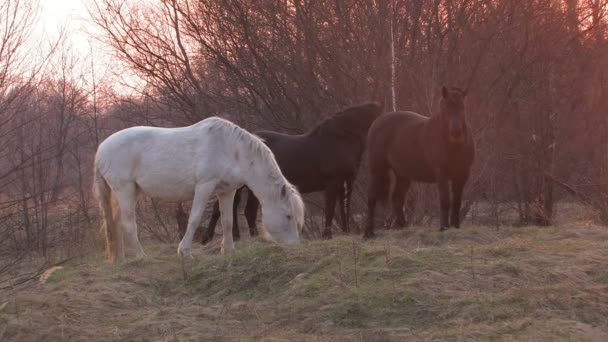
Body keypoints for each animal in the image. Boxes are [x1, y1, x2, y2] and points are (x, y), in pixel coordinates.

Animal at [92, 116, 304, 264]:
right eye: (288, 216)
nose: (295, 246)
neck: (231, 150)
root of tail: (101, 149)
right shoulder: (204, 186)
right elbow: (194, 219)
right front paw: (185, 253)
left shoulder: (226, 191)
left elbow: (227, 220)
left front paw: (228, 250)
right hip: (125, 190)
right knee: (128, 224)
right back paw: (141, 257)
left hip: (130, 192)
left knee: (116, 222)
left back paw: (120, 259)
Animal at [364, 86, 472, 238]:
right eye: (445, 108)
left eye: (462, 107)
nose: (456, 132)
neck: (454, 147)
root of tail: (377, 122)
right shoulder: (442, 174)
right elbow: (445, 200)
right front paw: (443, 228)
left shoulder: (462, 175)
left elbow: (456, 202)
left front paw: (455, 227)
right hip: (377, 169)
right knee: (372, 197)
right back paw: (369, 232)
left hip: (403, 174)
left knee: (397, 198)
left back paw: (402, 226)